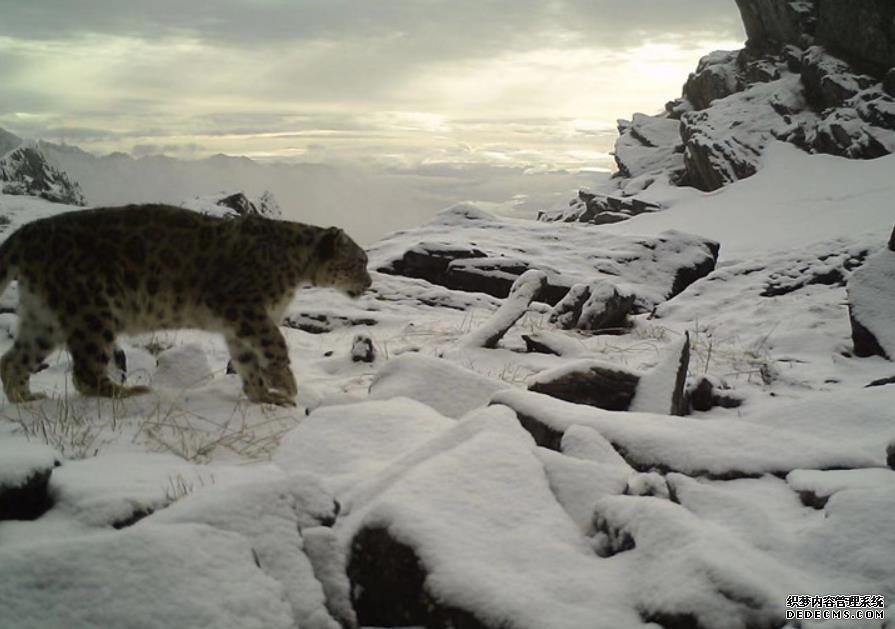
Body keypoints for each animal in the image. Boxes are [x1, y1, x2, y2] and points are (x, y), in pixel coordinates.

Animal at [0, 204, 372, 404]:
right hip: (91, 312)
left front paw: (263, 395)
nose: (369, 283)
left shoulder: (238, 324)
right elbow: (275, 344)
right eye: (359, 261)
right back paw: (130, 392)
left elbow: (247, 360)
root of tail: (27, 232)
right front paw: (286, 384)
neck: (295, 268)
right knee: (86, 372)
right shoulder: (245, 308)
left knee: (13, 360)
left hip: (44, 319)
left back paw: (26, 399)